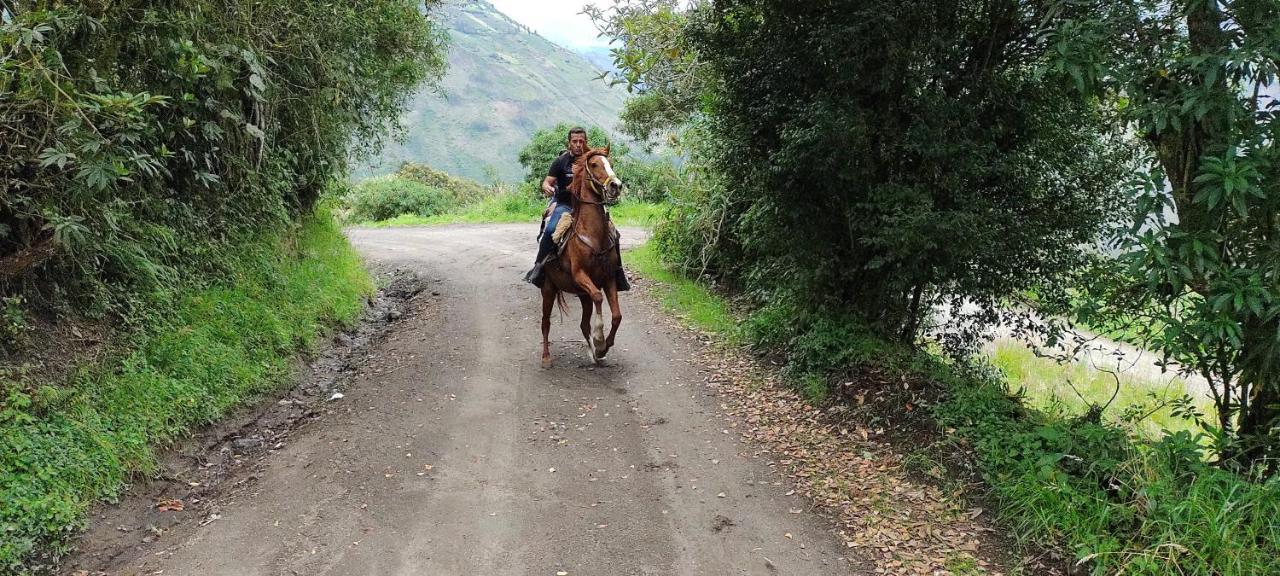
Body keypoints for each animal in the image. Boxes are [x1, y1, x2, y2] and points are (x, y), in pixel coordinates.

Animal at [537, 145, 622, 368]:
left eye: (611, 163)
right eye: (594, 164)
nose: (616, 185)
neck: (593, 236)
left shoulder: (608, 278)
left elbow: (617, 315)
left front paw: (603, 348)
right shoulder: (580, 275)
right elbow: (599, 297)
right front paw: (600, 340)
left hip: (582, 295)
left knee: (584, 324)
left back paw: (594, 355)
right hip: (549, 288)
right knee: (545, 322)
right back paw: (546, 357)